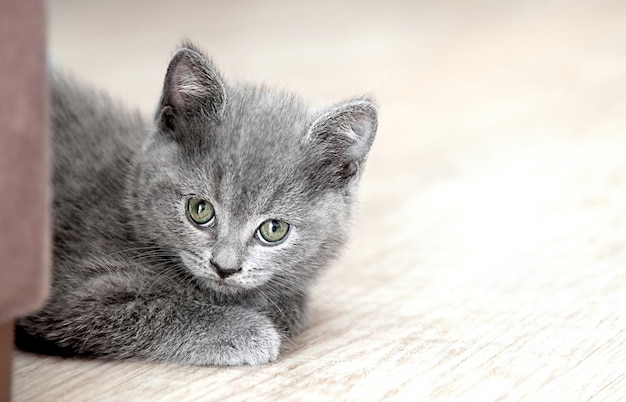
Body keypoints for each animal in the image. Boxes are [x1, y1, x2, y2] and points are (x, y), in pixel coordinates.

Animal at [15, 42, 376, 366]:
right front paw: (247, 330)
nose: (225, 267)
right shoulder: (76, 293)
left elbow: (292, 303)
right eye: (199, 210)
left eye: (274, 229)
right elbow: (155, 309)